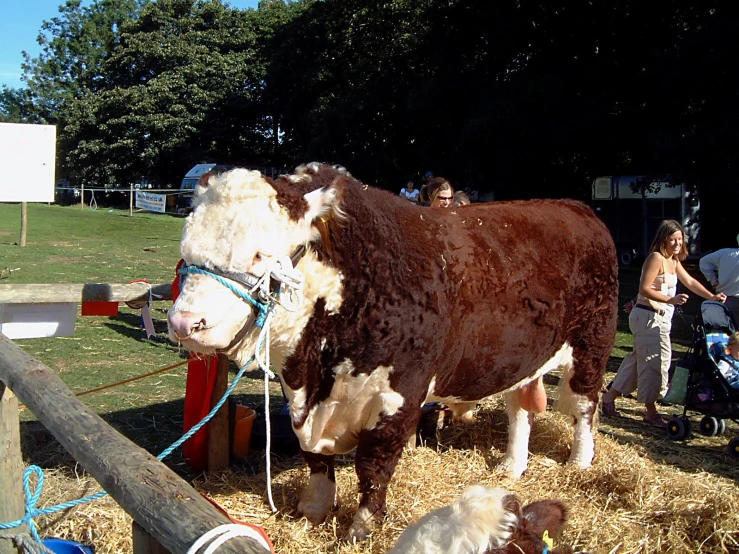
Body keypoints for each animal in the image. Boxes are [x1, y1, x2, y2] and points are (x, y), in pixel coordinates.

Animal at [168, 162, 620, 536]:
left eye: (260, 254)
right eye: (185, 250)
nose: (184, 323)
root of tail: (575, 207)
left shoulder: (401, 392)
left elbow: (374, 465)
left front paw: (362, 528)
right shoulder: (297, 391)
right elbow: (314, 459)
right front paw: (313, 510)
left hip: (591, 346)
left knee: (584, 408)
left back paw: (579, 462)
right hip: (519, 358)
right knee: (518, 410)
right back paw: (512, 466)